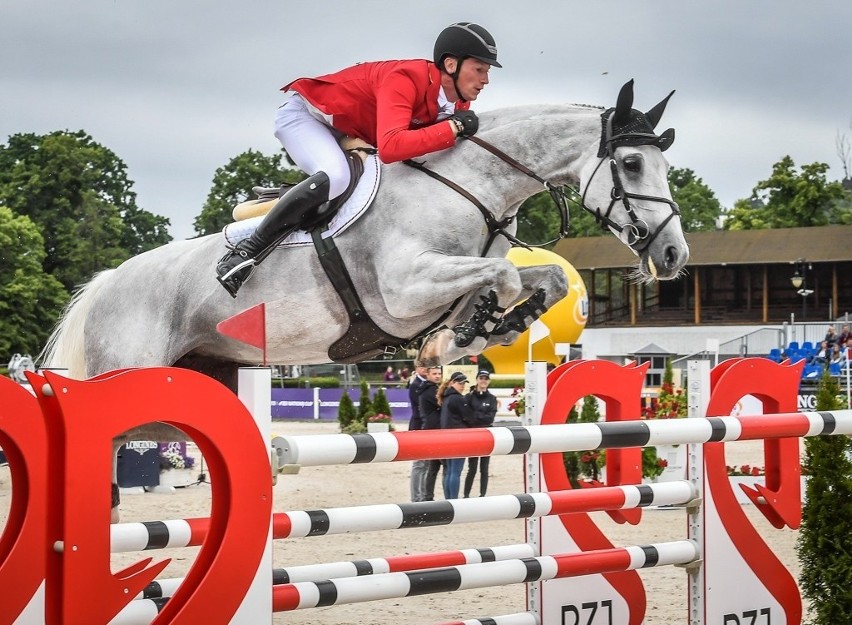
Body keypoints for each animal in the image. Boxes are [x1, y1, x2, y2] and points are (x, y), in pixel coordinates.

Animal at [41, 79, 692, 516]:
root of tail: (107, 282)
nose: (673, 257)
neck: (471, 187)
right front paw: (457, 339)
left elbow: (542, 281)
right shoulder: (405, 289)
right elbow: (500, 280)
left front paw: (481, 330)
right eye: (631, 163)